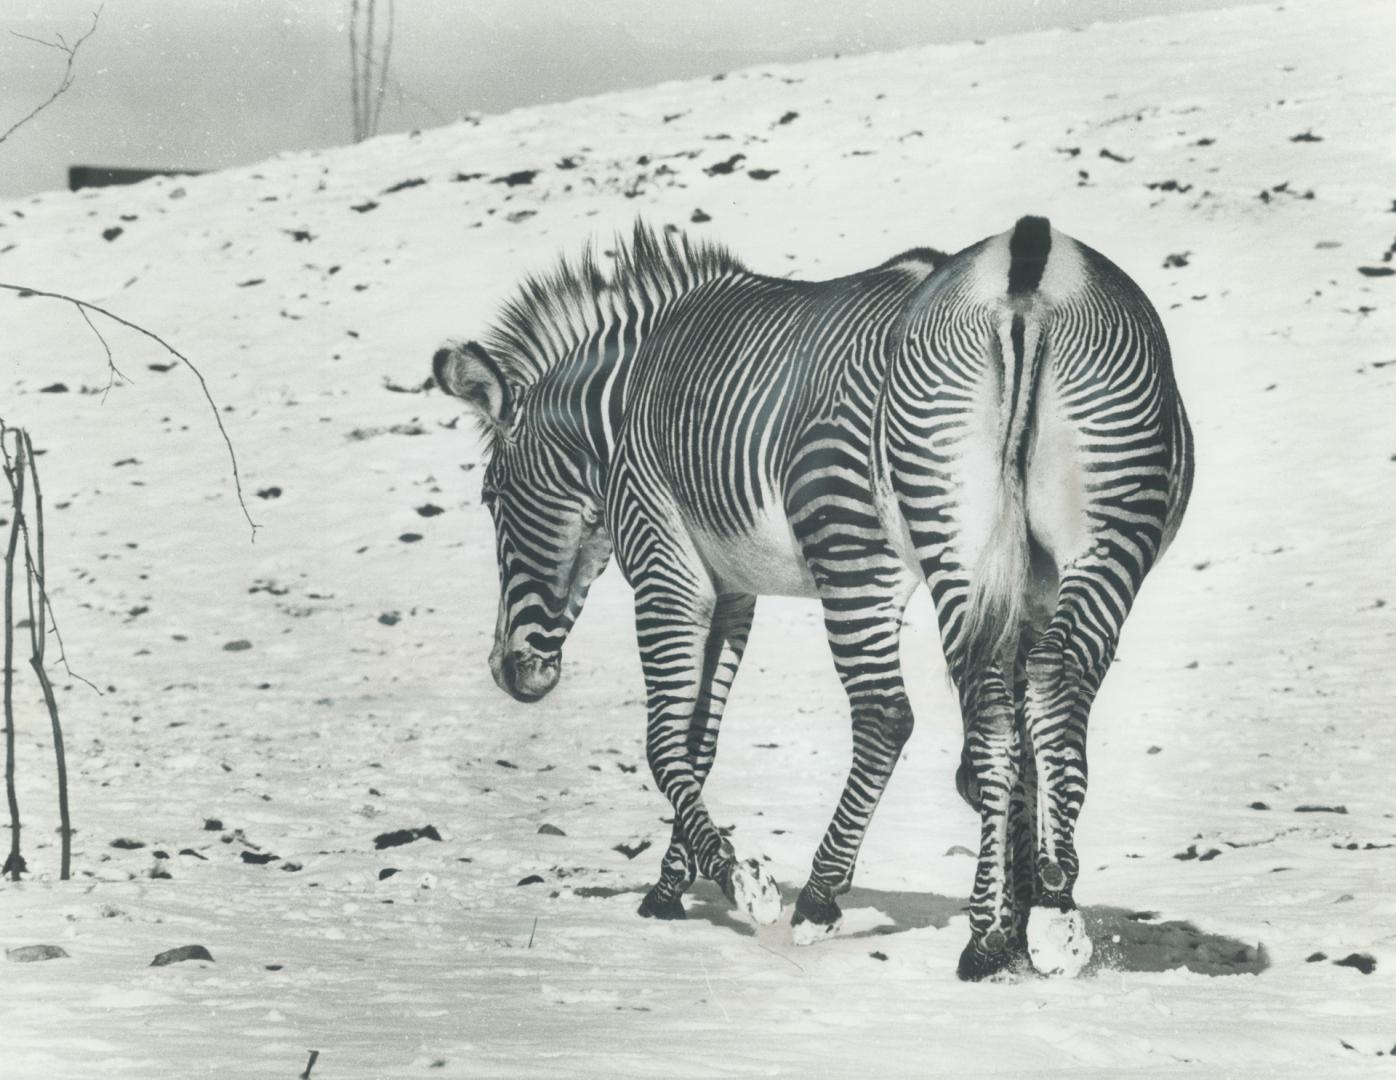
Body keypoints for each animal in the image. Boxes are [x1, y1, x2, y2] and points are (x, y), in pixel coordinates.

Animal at [432, 217, 1189, 982]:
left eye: (490, 496)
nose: (511, 672)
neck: (626, 405)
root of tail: (1029, 263)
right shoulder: (734, 591)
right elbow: (700, 742)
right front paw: (671, 885)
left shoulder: (666, 564)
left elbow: (664, 744)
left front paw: (741, 881)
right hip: (1092, 537)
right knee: (1046, 691)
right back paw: (1044, 919)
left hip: (865, 551)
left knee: (893, 716)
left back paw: (838, 903)